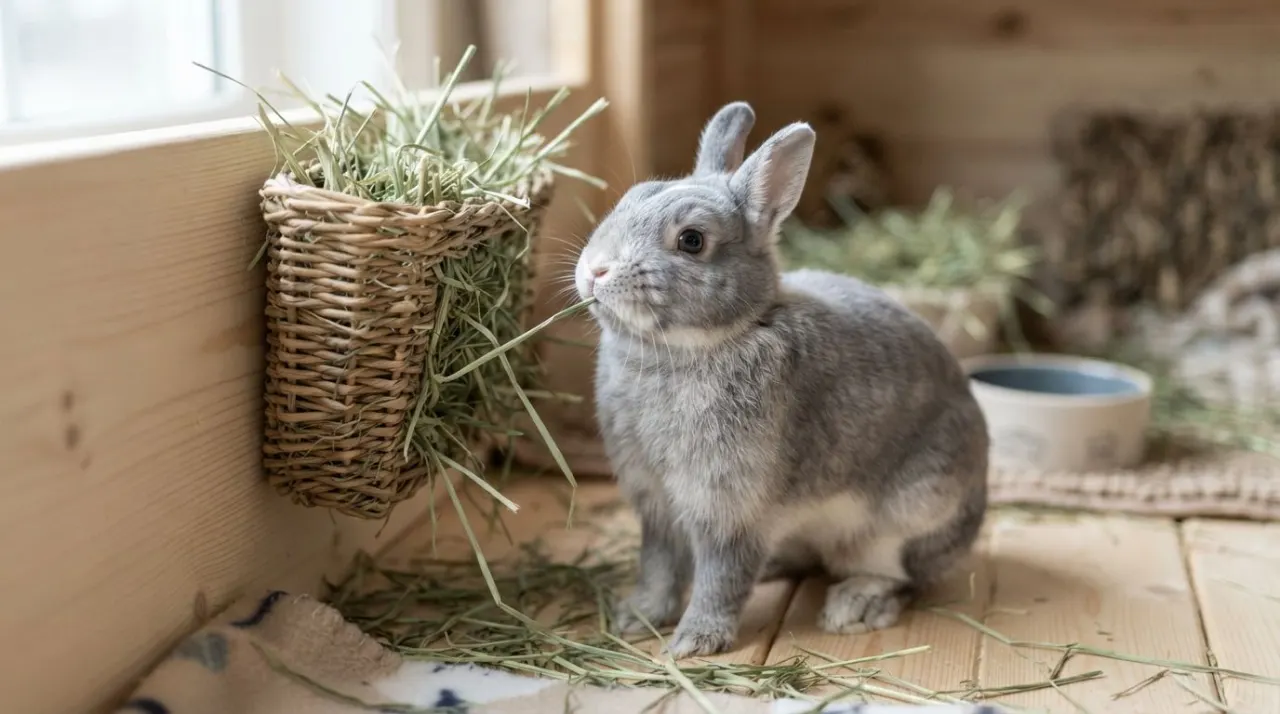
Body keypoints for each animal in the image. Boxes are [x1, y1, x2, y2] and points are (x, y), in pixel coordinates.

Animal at [573, 101, 989, 659]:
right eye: (627, 201)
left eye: (691, 241)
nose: (595, 272)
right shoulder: (655, 505)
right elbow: (657, 565)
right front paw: (636, 616)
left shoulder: (730, 508)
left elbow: (720, 577)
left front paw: (693, 643)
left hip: (912, 515)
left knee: (903, 577)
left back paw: (855, 605)